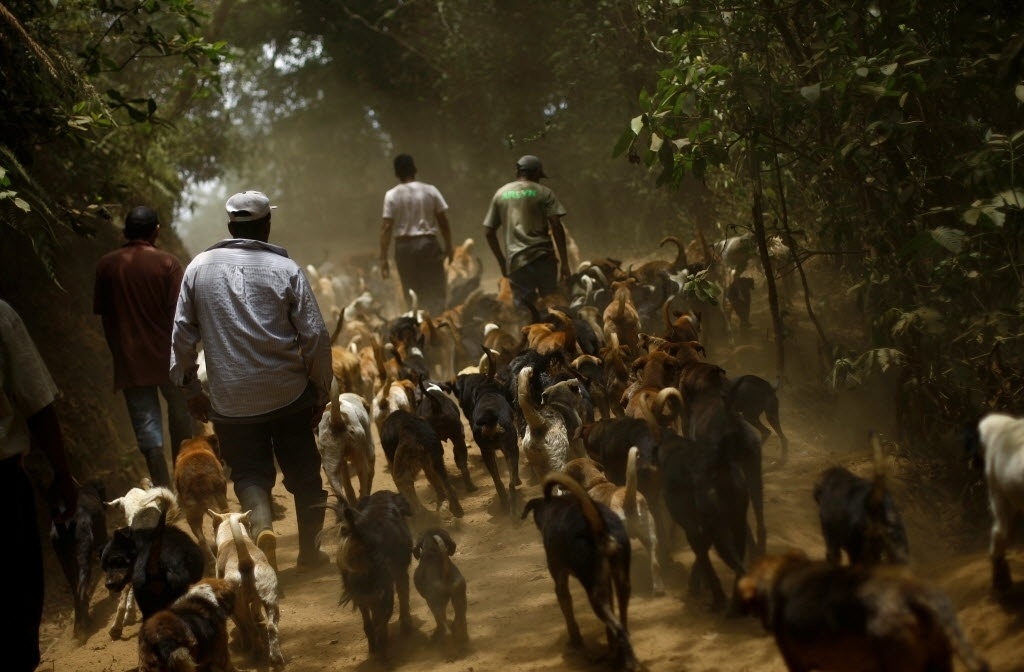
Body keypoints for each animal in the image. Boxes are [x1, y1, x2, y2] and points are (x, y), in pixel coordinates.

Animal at [49, 477, 108, 639]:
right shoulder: (103, 540)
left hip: (66, 564)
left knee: (76, 593)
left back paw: (78, 625)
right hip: (83, 560)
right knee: (81, 591)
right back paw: (84, 625)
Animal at [524, 473, 634, 672]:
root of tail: (598, 527)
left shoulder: (560, 578)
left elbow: (567, 609)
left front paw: (575, 641)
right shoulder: (606, 581)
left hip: (595, 596)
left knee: (619, 630)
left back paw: (624, 661)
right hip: (622, 583)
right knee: (622, 622)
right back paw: (619, 654)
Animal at [561, 446, 663, 594]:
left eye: (565, 471)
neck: (596, 482)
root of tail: (628, 501)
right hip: (650, 537)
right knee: (655, 564)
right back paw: (658, 588)